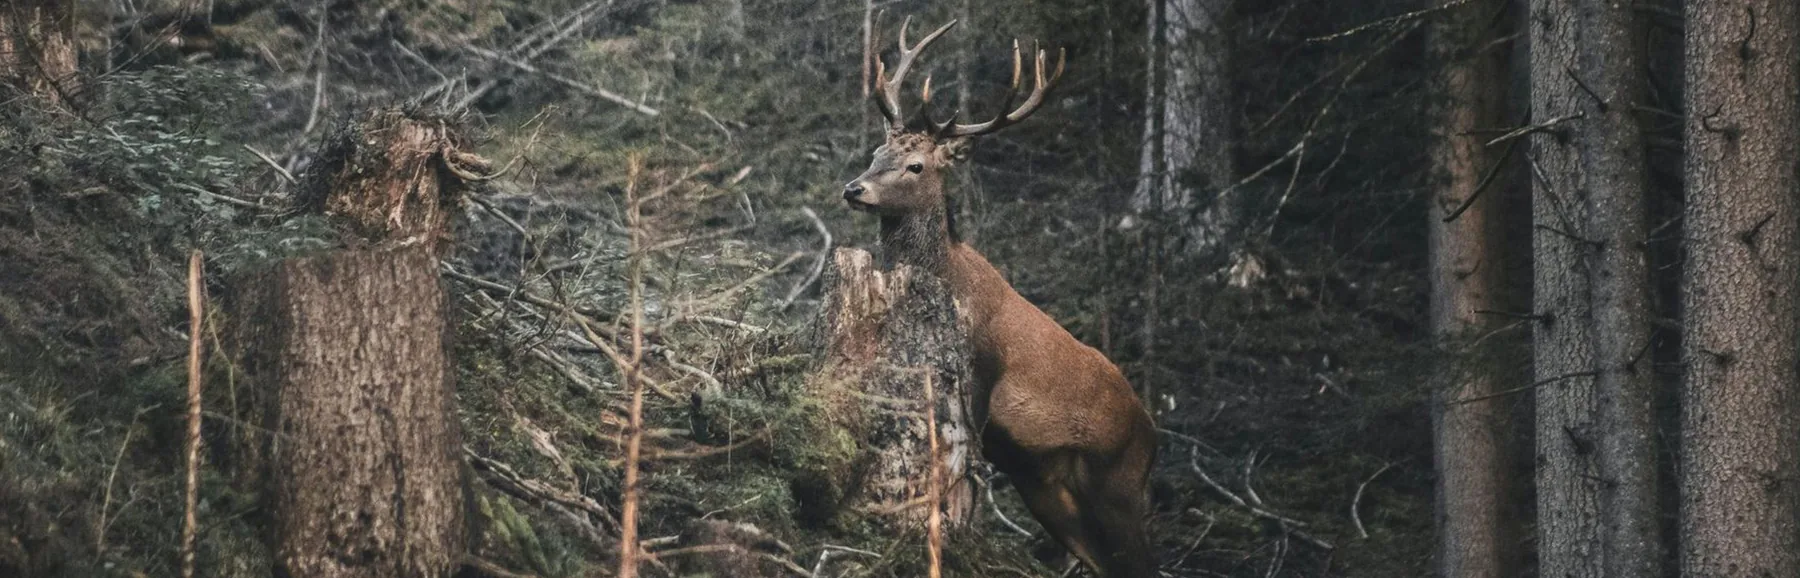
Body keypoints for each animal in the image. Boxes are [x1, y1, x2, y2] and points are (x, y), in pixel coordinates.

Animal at [843, 19, 1159, 578]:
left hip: (1119, 480)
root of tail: (1155, 440)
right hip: (1050, 489)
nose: (854, 188)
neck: (946, 275)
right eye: (878, 154)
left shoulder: (981, 373)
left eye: (916, 165)